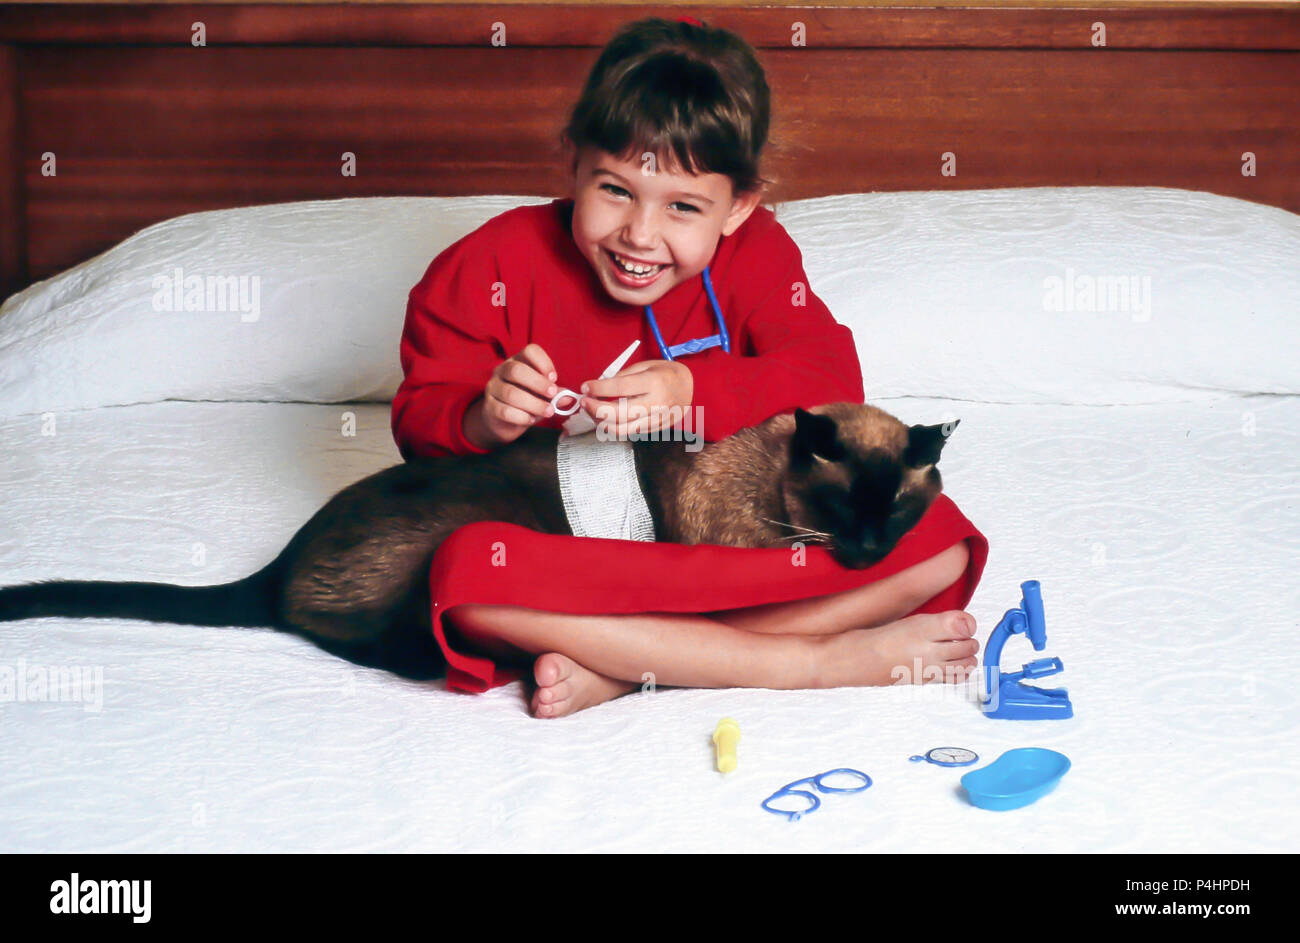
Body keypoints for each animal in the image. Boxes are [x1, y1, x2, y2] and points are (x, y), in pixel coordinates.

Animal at [0, 403, 956, 676]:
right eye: (842, 508)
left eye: (893, 514)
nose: (869, 552)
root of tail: (285, 553)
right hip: (463, 543)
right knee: (345, 629)